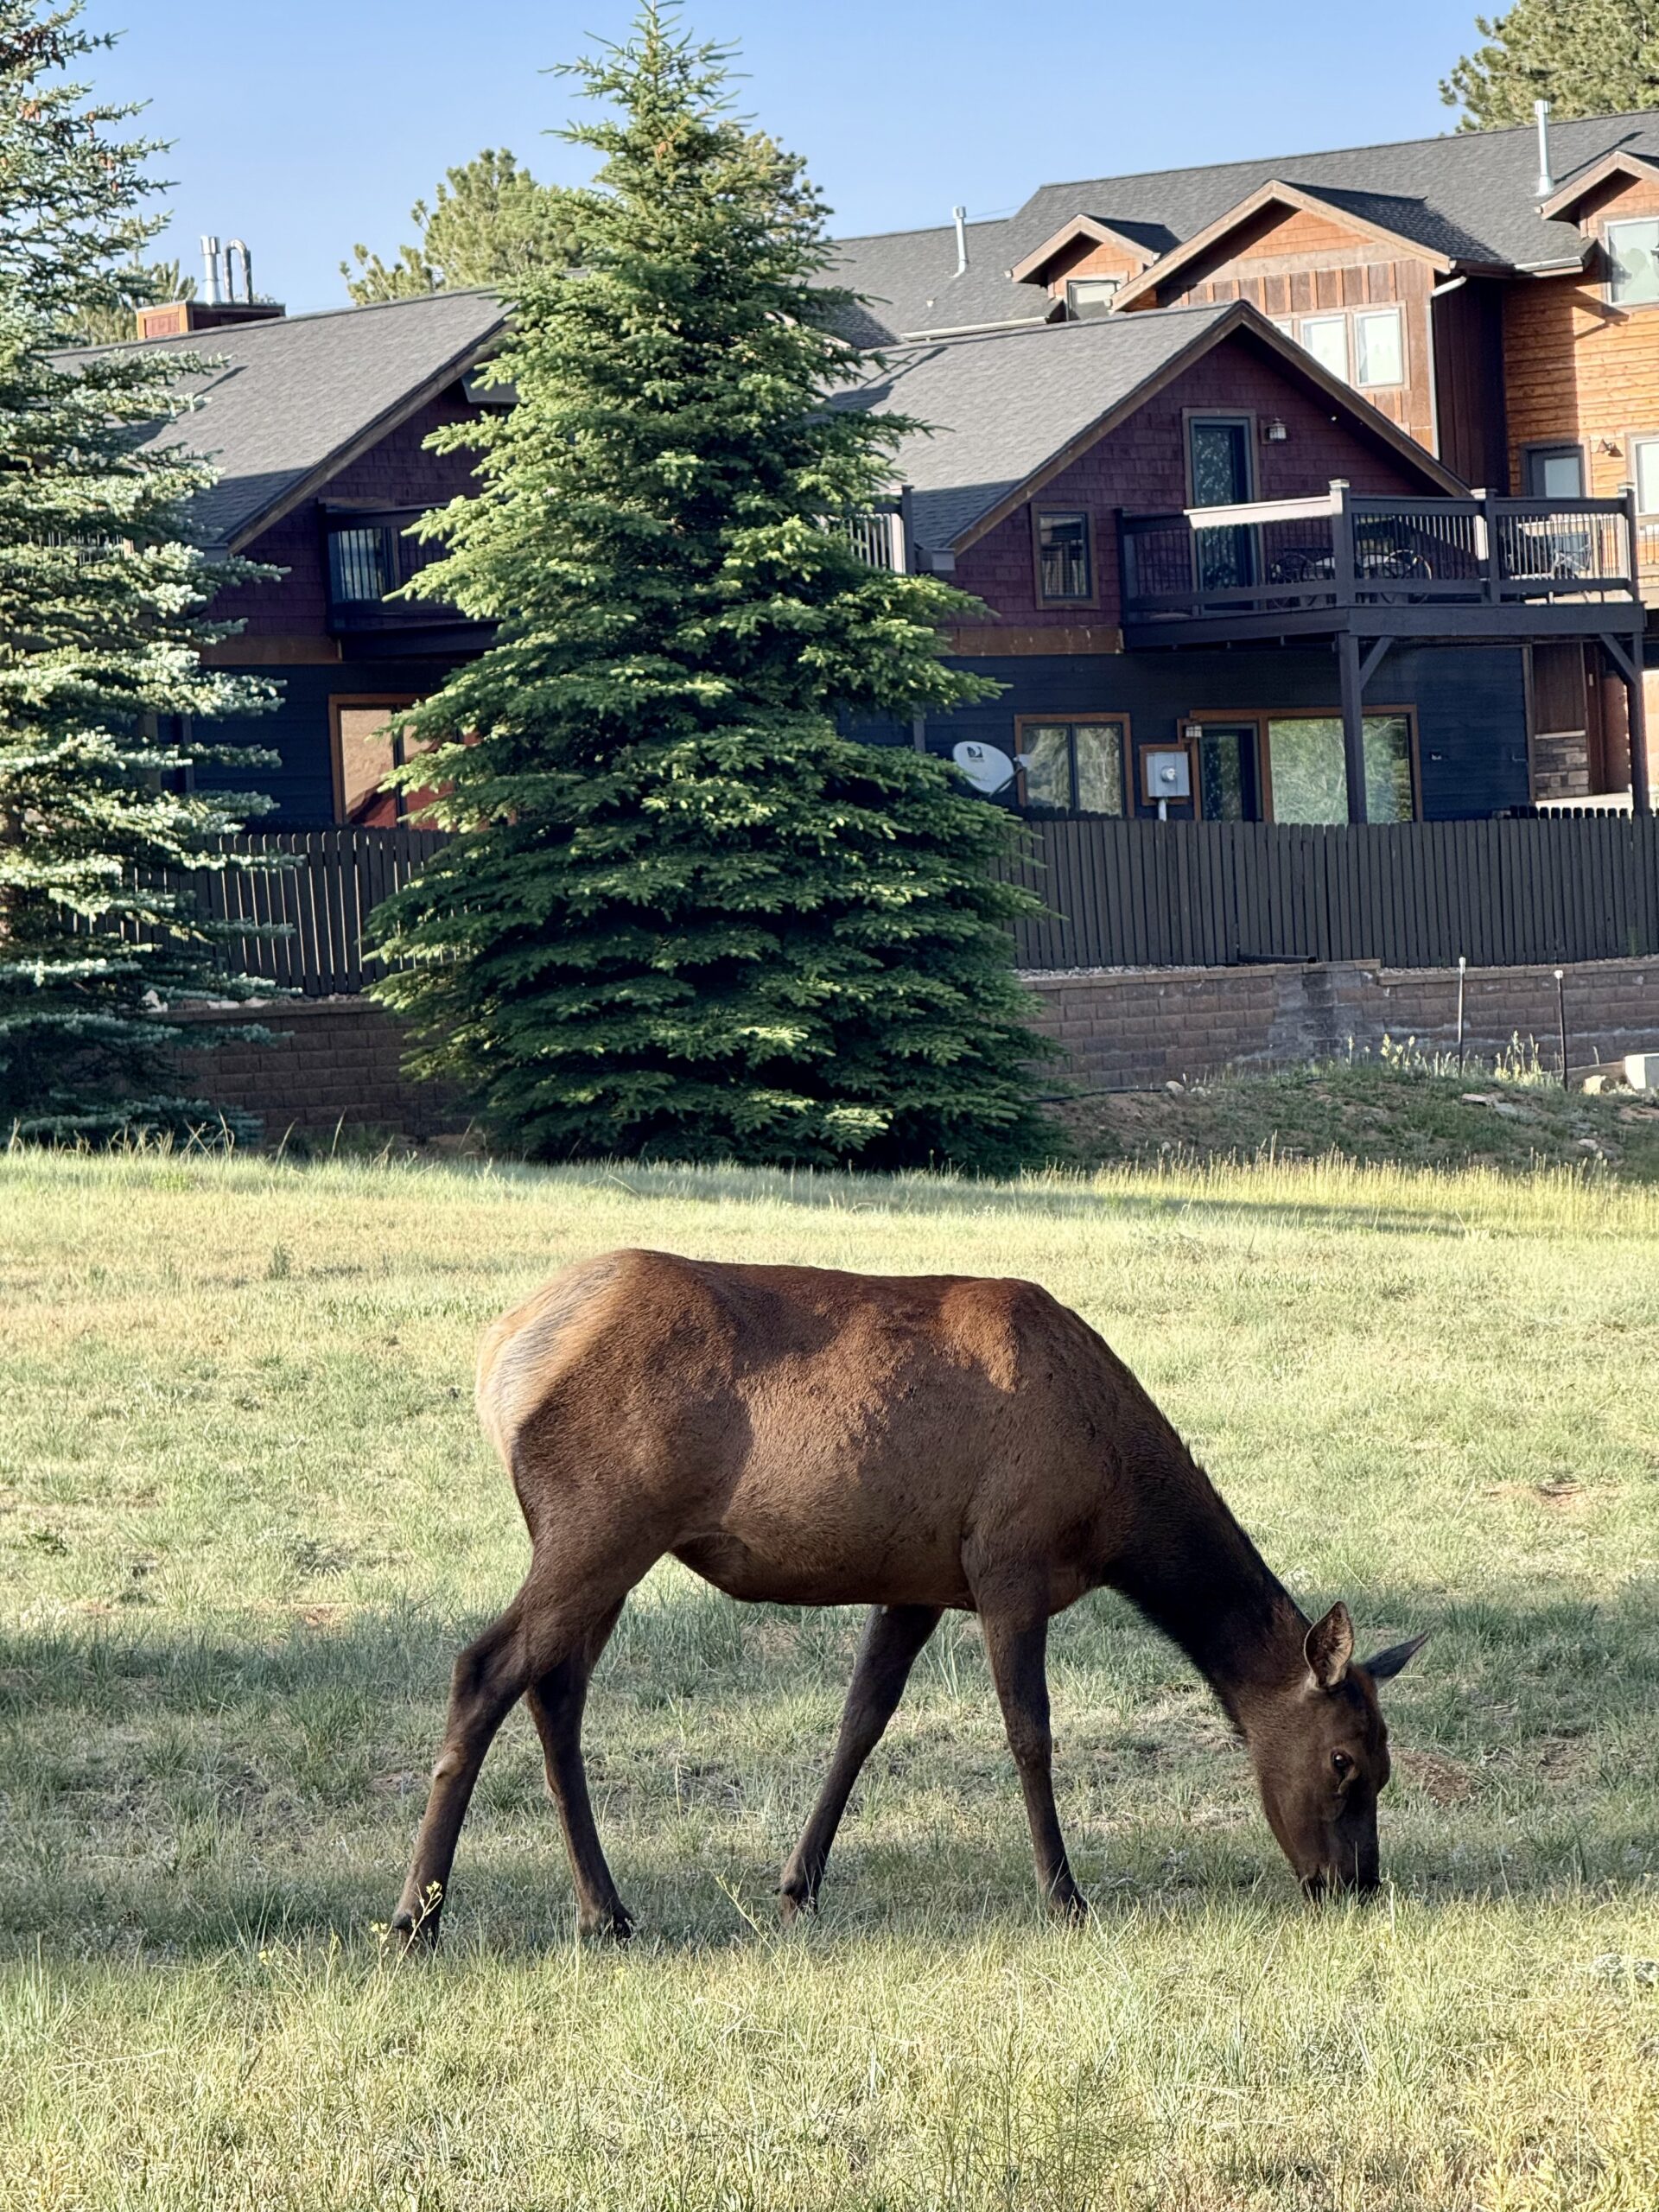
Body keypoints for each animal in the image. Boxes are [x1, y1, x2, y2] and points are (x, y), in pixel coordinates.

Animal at [391, 1249, 1426, 1947]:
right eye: (1346, 1761)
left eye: (1386, 1764)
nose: (1355, 1885)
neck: (1115, 1505)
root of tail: (501, 1356)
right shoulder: (1009, 1562)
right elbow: (1029, 1733)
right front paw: (1065, 1895)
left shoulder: (919, 1584)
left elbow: (862, 1718)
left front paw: (798, 1885)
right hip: (599, 1519)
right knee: (486, 1666)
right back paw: (416, 1917)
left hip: (608, 1542)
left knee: (556, 1689)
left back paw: (604, 1909)